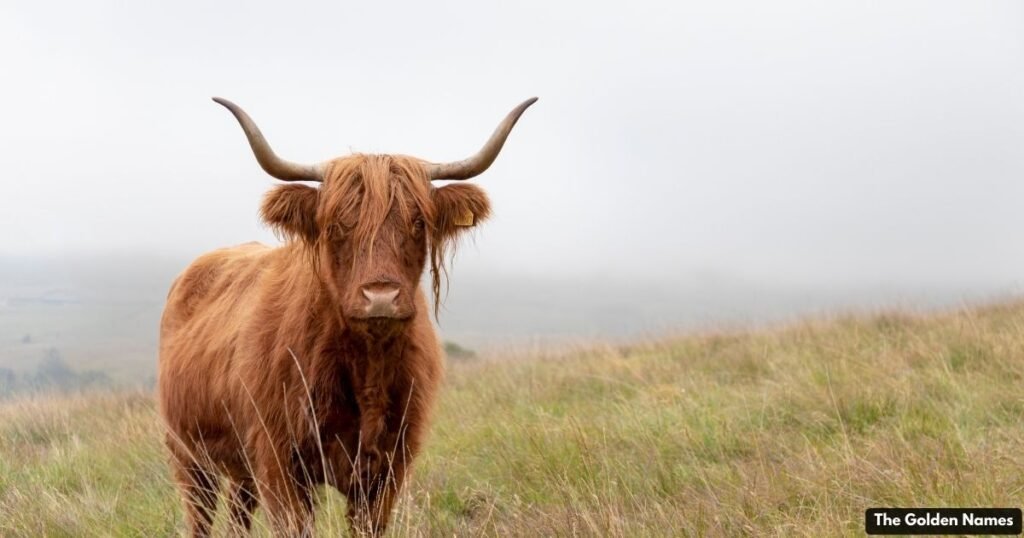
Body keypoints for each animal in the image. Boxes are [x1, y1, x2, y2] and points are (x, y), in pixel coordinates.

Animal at [157, 96, 536, 537]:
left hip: (238, 469)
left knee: (237, 515)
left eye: (418, 222)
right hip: (188, 454)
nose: (381, 297)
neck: (366, 366)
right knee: (200, 516)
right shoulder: (278, 461)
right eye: (338, 225)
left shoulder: (388, 468)